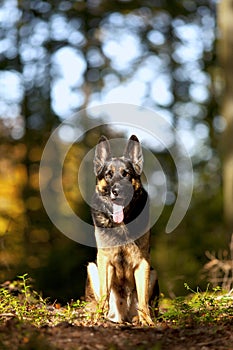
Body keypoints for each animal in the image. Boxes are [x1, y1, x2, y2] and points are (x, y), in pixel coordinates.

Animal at [84, 135, 159, 326]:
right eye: (108, 175)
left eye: (126, 174)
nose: (117, 191)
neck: (121, 224)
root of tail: (123, 316)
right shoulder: (104, 260)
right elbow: (104, 293)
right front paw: (97, 318)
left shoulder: (143, 263)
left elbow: (143, 300)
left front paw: (147, 321)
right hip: (92, 268)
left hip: (153, 273)